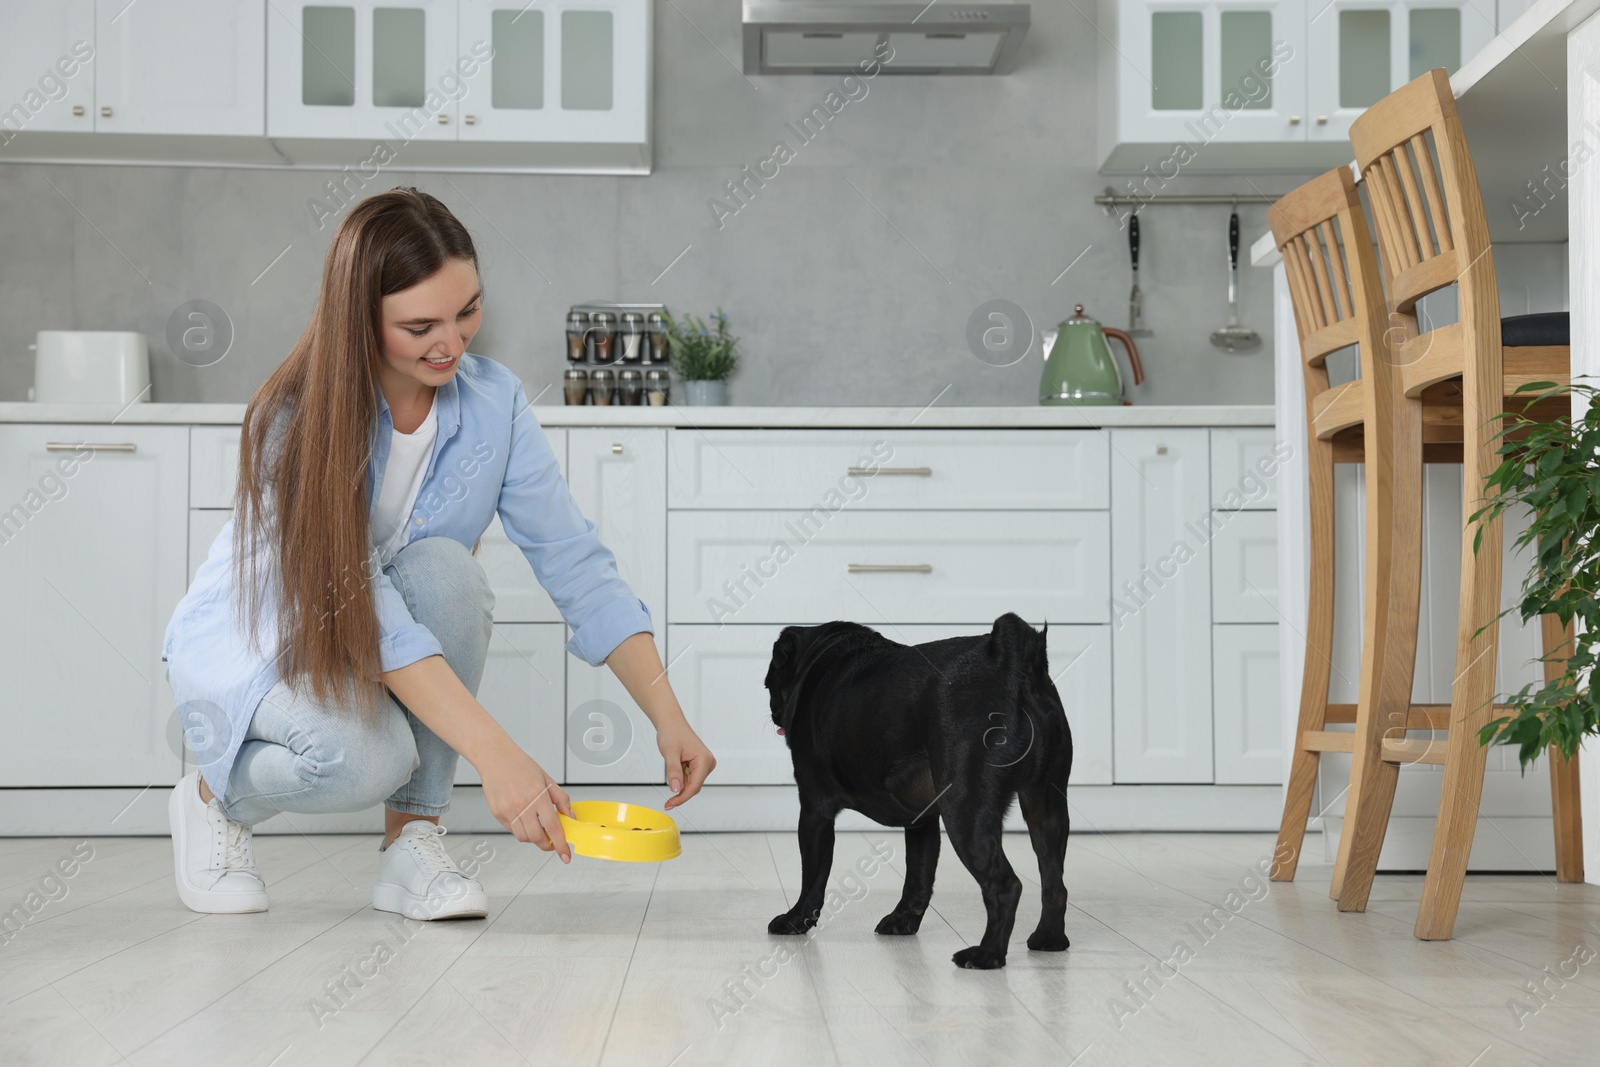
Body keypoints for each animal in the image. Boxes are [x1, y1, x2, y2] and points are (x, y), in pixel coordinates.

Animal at [764, 607, 1075, 966]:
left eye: (769, 685)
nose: (772, 711)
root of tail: (1010, 660)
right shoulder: (922, 821)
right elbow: (918, 876)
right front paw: (903, 921)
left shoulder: (815, 809)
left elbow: (813, 876)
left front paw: (795, 920)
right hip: (1046, 807)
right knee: (1054, 882)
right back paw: (1049, 939)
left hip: (965, 812)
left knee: (1005, 886)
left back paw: (986, 954)